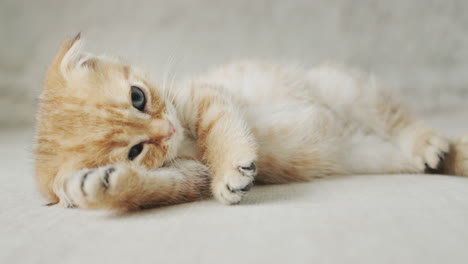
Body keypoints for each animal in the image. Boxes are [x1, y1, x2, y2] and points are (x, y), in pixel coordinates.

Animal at [33, 34, 468, 210]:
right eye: (135, 151)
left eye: (137, 97)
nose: (168, 130)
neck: (182, 140)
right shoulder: (188, 175)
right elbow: (158, 188)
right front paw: (101, 188)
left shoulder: (198, 95)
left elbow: (218, 129)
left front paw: (231, 171)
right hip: (370, 154)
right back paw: (441, 157)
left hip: (346, 90)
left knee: (401, 121)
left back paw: (427, 142)